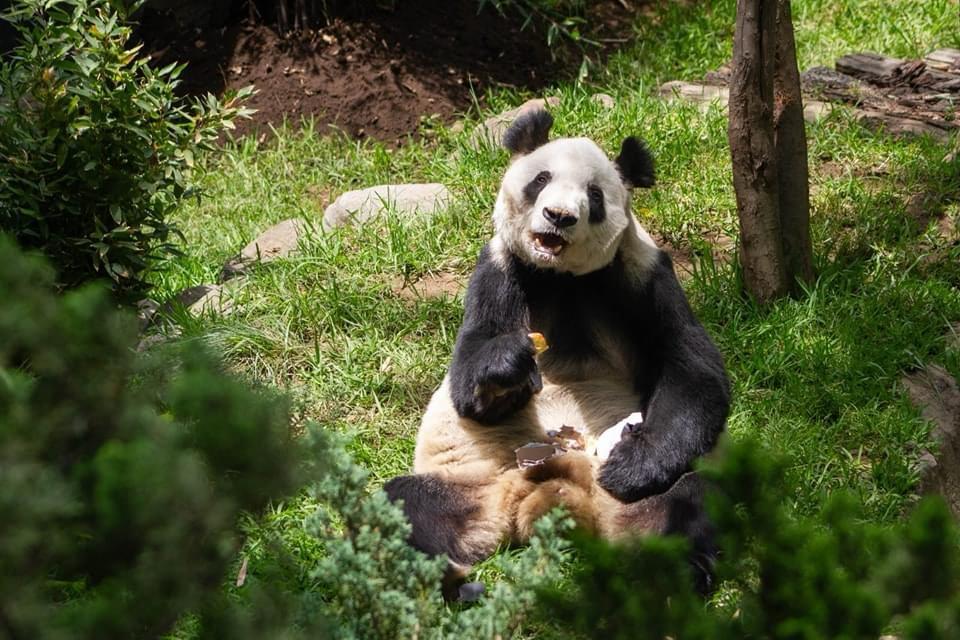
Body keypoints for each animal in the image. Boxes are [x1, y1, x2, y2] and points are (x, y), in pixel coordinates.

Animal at [385, 109, 730, 597]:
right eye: (541, 179)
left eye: (595, 195)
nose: (559, 216)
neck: (560, 276)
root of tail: (541, 504)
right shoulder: (499, 268)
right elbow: (469, 374)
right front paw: (507, 368)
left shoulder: (643, 275)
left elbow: (692, 369)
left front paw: (632, 464)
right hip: (474, 488)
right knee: (403, 504)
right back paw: (451, 582)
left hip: (633, 501)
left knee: (689, 497)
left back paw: (679, 572)